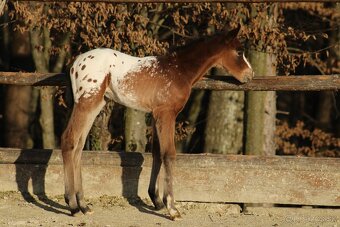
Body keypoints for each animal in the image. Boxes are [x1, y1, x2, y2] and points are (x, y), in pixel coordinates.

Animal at [61, 26, 252, 220]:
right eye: (239, 51)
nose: (250, 75)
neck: (178, 70)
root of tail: (76, 62)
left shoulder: (155, 115)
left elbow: (157, 153)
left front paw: (157, 200)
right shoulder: (166, 114)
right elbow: (169, 154)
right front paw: (172, 208)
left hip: (95, 105)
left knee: (78, 146)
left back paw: (84, 205)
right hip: (86, 103)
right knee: (69, 140)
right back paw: (73, 205)